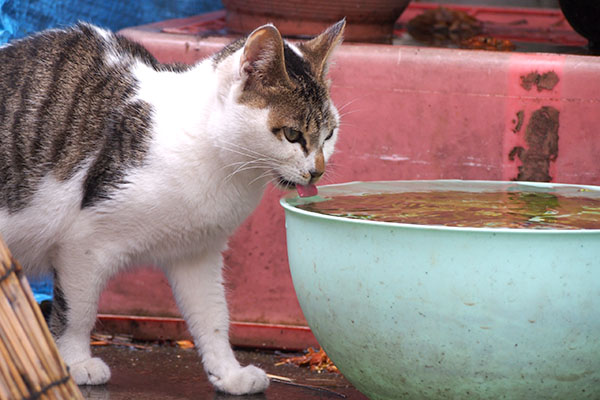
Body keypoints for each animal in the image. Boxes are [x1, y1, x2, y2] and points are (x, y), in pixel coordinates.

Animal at [0, 18, 344, 394]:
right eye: (292, 134)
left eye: (329, 134)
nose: (317, 171)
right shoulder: (82, 245)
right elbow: (78, 311)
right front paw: (77, 363)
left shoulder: (197, 253)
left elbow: (213, 318)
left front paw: (229, 373)